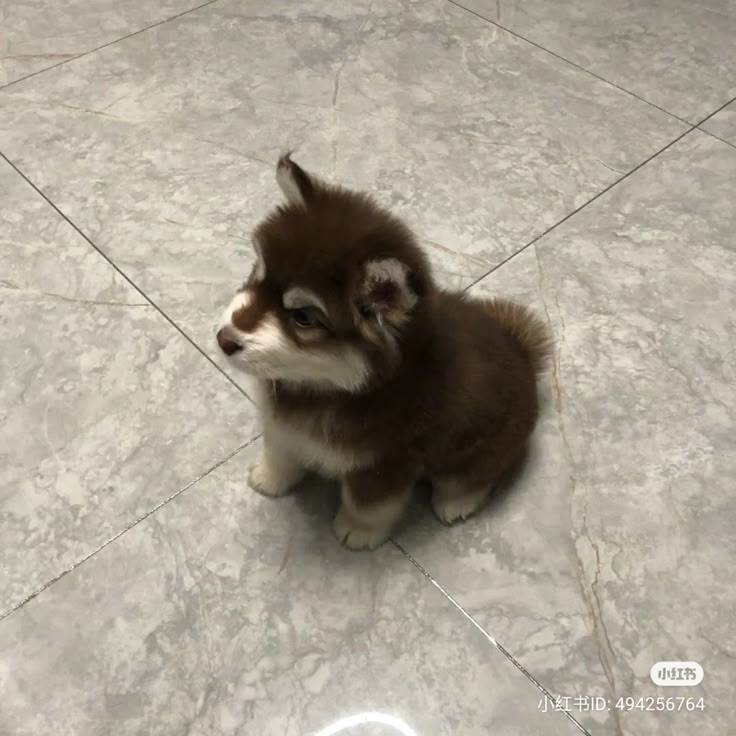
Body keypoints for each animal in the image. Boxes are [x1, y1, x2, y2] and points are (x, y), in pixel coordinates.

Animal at [216, 154, 548, 548]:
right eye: (257, 275)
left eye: (302, 317)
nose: (223, 339)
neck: (331, 389)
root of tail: (521, 351)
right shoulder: (284, 426)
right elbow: (282, 452)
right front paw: (269, 477)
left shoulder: (384, 463)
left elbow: (368, 503)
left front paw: (359, 530)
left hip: (479, 450)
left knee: (476, 477)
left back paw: (457, 502)